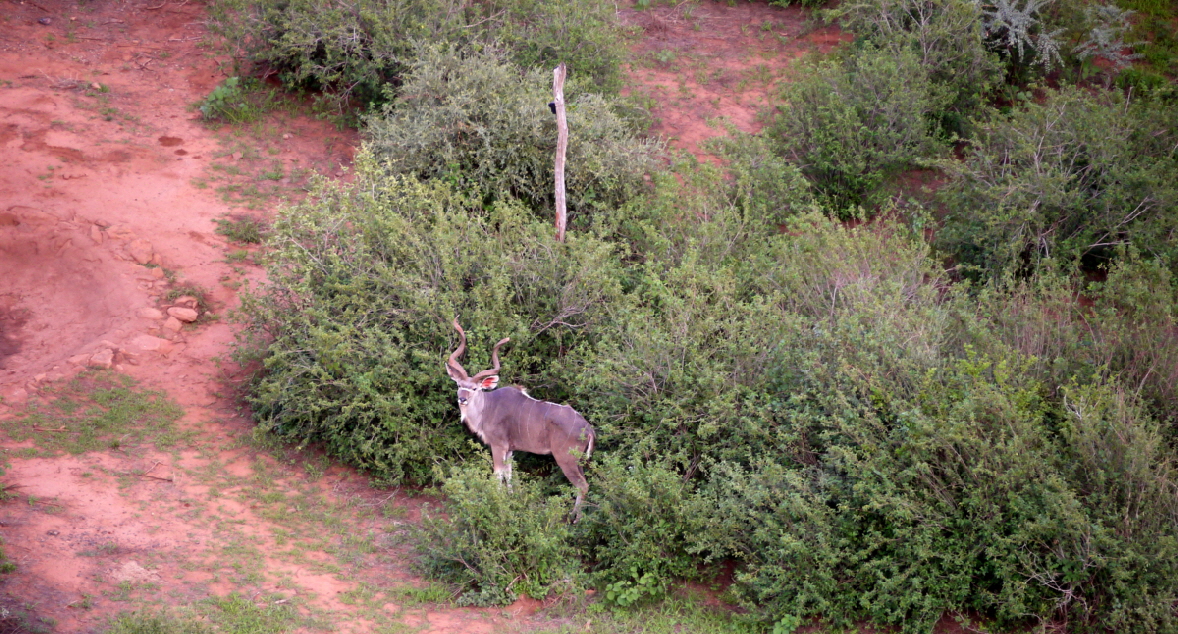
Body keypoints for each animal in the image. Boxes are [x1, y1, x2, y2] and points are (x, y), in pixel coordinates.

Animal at [449, 318, 598, 516]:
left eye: (474, 388)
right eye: (459, 384)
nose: (462, 399)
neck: (487, 407)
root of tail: (587, 429)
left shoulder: (498, 445)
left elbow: (497, 475)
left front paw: (497, 504)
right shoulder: (510, 449)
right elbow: (509, 474)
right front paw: (511, 500)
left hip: (565, 458)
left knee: (582, 485)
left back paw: (576, 518)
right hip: (578, 460)